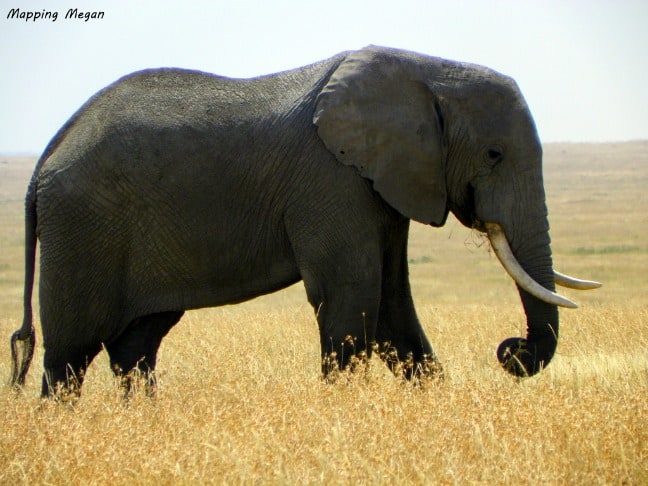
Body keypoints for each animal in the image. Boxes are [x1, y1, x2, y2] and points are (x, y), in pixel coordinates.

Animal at [7, 43, 600, 396]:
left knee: (136, 347)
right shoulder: (331, 180)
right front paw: (342, 417)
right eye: (495, 155)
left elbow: (392, 304)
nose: (512, 351)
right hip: (82, 227)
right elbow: (353, 298)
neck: (423, 70)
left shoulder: (382, 183)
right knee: (69, 356)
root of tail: (47, 155)